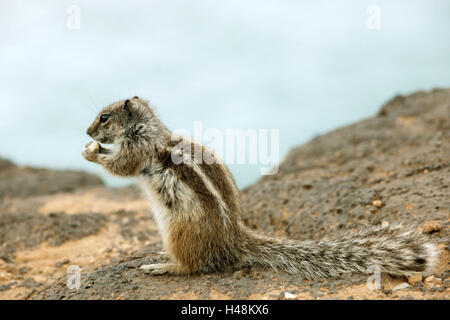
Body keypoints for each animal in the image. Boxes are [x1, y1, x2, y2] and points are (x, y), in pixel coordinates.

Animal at [81, 96, 440, 278]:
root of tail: (234, 241)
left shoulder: (137, 149)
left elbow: (121, 166)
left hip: (180, 233)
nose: (86, 132)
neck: (149, 127)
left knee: (194, 266)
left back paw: (161, 265)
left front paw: (92, 153)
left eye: (103, 117)